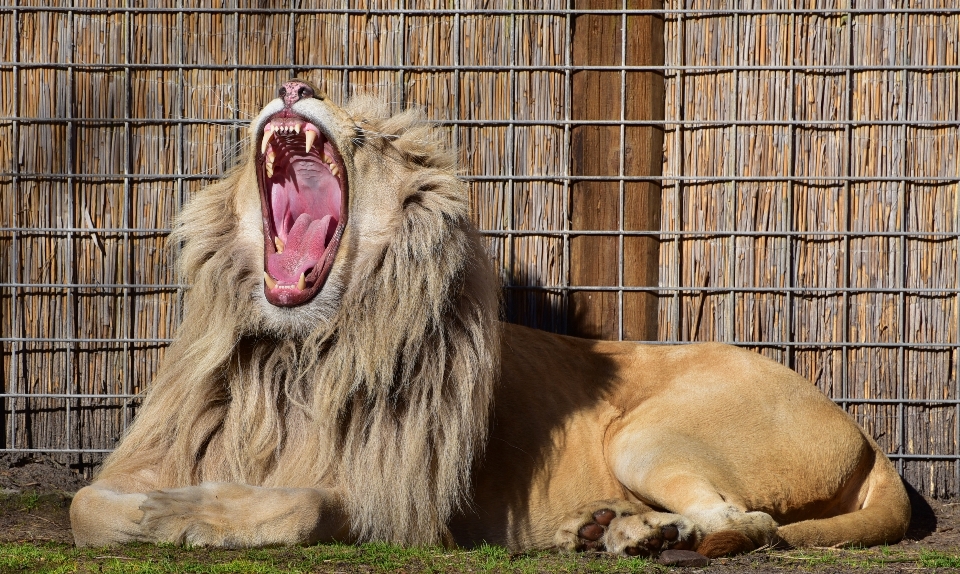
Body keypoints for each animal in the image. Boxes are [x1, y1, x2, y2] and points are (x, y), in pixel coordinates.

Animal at [71, 81, 912, 560]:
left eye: (366, 137)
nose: (293, 83)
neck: (296, 353)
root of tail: (867, 432)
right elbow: (87, 503)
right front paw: (157, 510)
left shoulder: (401, 509)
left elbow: (302, 505)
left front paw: (189, 514)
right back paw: (607, 530)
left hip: (645, 433)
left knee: (750, 518)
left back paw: (647, 536)